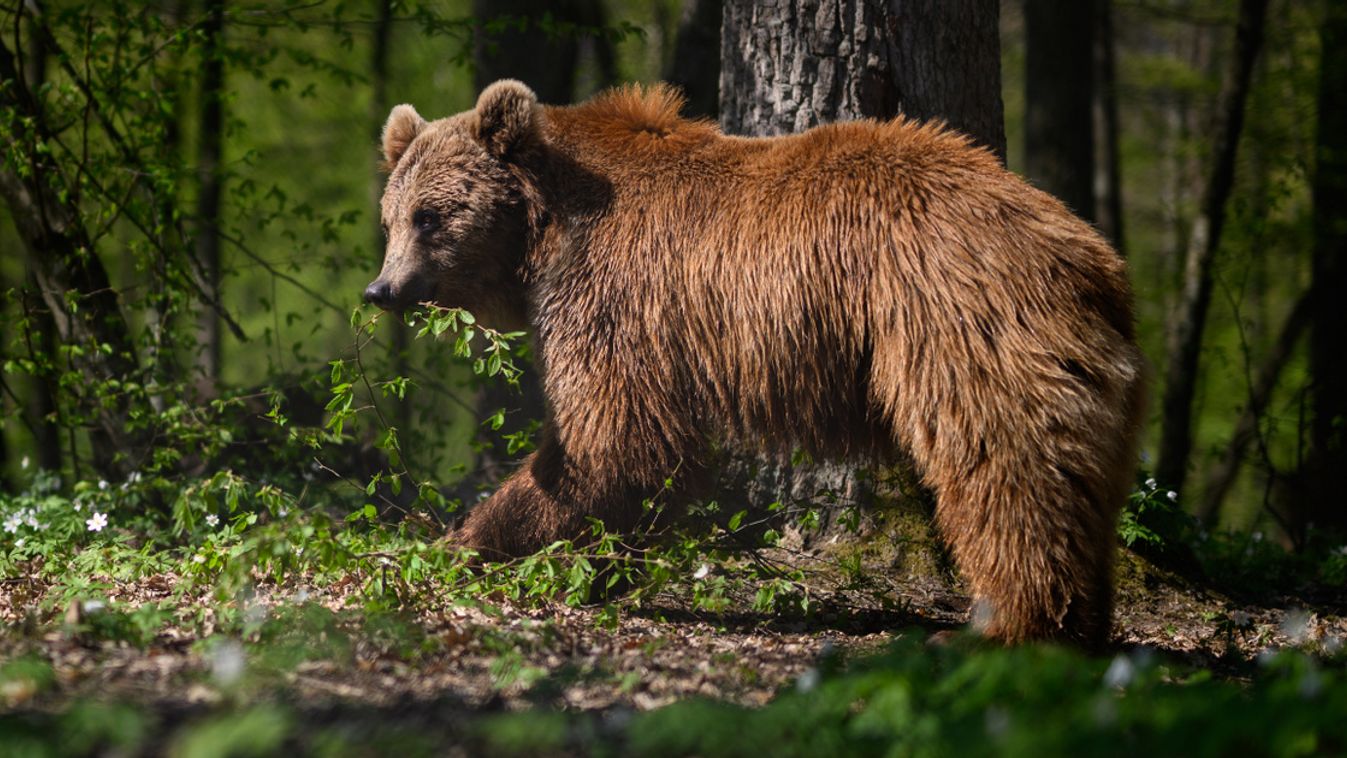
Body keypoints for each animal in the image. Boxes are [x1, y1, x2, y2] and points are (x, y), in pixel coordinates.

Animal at [369, 78, 1147, 646]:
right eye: (391, 217)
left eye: (431, 216)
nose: (383, 289)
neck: (546, 230)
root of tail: (1091, 258)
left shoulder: (614, 291)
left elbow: (613, 439)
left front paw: (475, 542)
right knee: (1078, 479)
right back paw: (1081, 622)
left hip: (953, 322)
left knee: (1004, 465)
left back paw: (1006, 624)